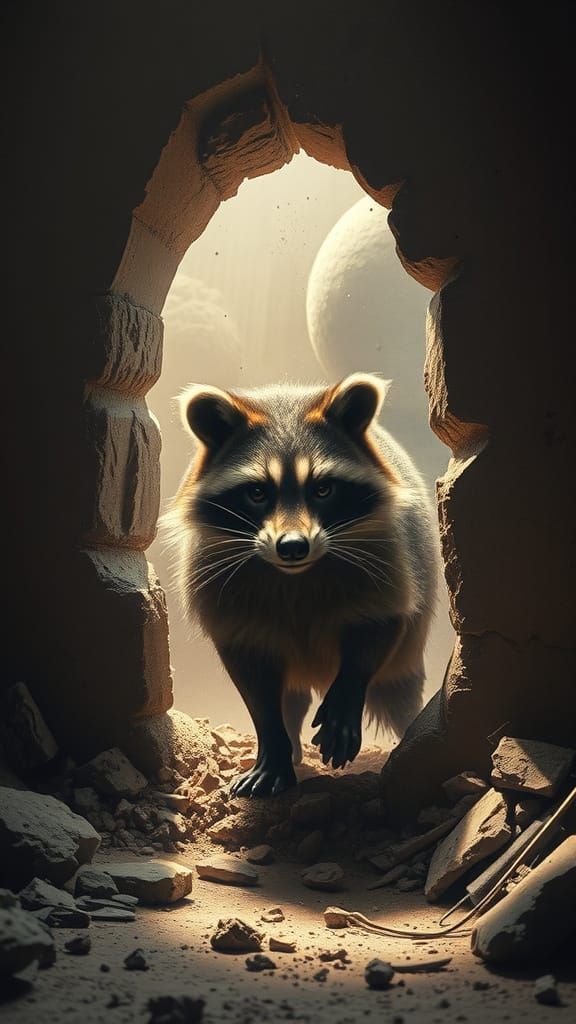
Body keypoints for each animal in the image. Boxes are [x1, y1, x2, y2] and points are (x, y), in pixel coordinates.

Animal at [163, 373, 438, 798]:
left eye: (323, 489)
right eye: (257, 492)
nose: (293, 546)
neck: (294, 576)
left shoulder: (390, 560)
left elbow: (379, 627)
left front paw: (345, 699)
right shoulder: (223, 597)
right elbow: (257, 690)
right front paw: (273, 748)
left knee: (399, 690)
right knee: (290, 698)